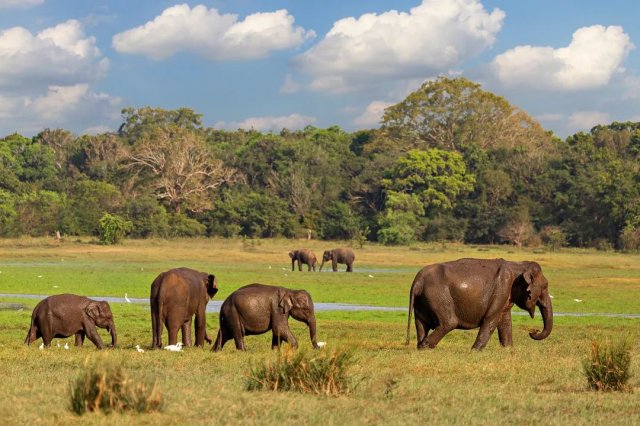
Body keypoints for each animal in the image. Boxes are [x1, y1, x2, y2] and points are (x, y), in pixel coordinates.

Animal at [404, 256, 552, 350]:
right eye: (545, 286)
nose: (533, 331)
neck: (517, 265)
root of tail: (417, 281)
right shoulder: (502, 289)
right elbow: (491, 319)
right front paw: (475, 350)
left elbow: (504, 320)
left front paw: (508, 349)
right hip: (438, 295)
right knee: (449, 322)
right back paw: (425, 347)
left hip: (422, 300)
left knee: (421, 323)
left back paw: (420, 346)